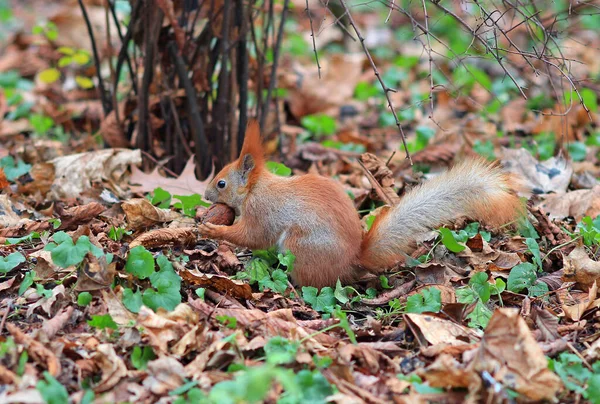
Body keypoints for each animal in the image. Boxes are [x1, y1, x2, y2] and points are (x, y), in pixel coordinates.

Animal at [199, 121, 524, 288]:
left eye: (221, 183)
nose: (205, 195)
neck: (255, 189)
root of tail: (352, 260)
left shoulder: (262, 212)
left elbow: (251, 236)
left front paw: (211, 229)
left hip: (301, 248)